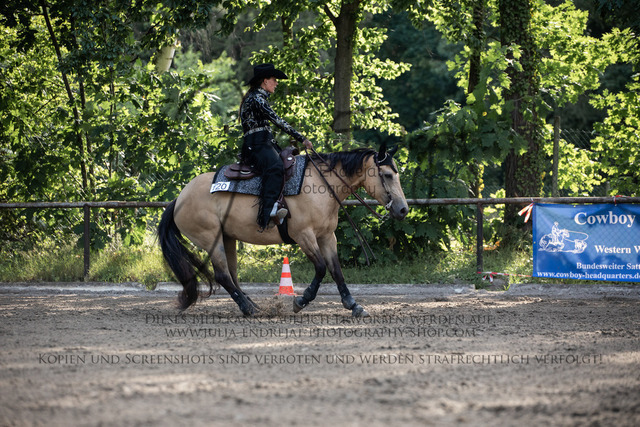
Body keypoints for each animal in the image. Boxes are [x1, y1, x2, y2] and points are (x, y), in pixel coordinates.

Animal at [157, 143, 409, 317]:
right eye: (387, 175)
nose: (403, 209)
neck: (321, 185)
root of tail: (179, 199)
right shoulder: (304, 235)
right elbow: (321, 268)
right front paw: (300, 302)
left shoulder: (327, 236)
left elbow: (336, 270)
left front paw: (354, 305)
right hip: (211, 238)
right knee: (222, 275)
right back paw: (249, 309)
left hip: (227, 238)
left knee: (232, 274)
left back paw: (252, 305)